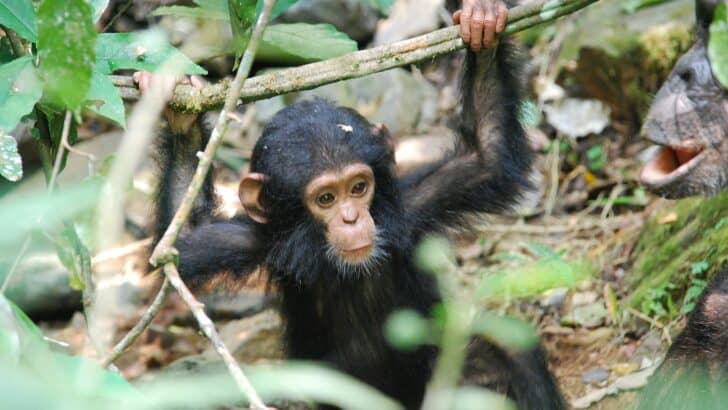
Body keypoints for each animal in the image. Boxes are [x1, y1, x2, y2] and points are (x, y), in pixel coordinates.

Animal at [141, 1, 565, 408]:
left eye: (359, 187)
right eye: (326, 198)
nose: (350, 217)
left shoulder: (414, 206)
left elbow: (487, 158)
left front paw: (482, 24)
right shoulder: (253, 242)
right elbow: (186, 241)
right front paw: (178, 113)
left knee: (510, 353)